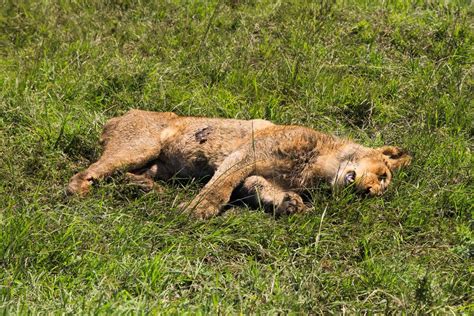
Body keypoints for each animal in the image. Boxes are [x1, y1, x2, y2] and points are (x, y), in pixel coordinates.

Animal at [66, 110, 412, 218]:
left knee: (128, 175)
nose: (369, 191)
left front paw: (289, 204)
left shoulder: (258, 174)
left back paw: (143, 188)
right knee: (92, 170)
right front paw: (196, 211)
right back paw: (79, 189)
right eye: (382, 175)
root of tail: (119, 116)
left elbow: (257, 187)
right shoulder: (248, 153)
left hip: (158, 164)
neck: (319, 167)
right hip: (141, 146)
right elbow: (219, 186)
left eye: (382, 185)